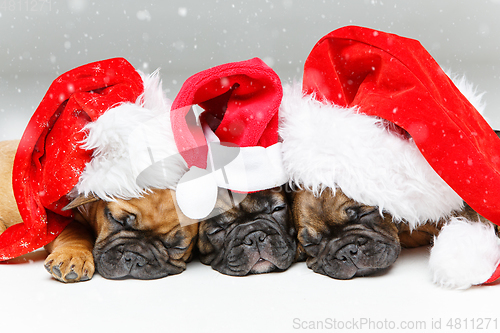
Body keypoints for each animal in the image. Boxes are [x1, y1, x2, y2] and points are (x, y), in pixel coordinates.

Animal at [0, 139, 199, 282]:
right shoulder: (54, 220)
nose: (135, 257)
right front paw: (73, 255)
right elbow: (76, 232)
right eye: (116, 219)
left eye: (179, 247)